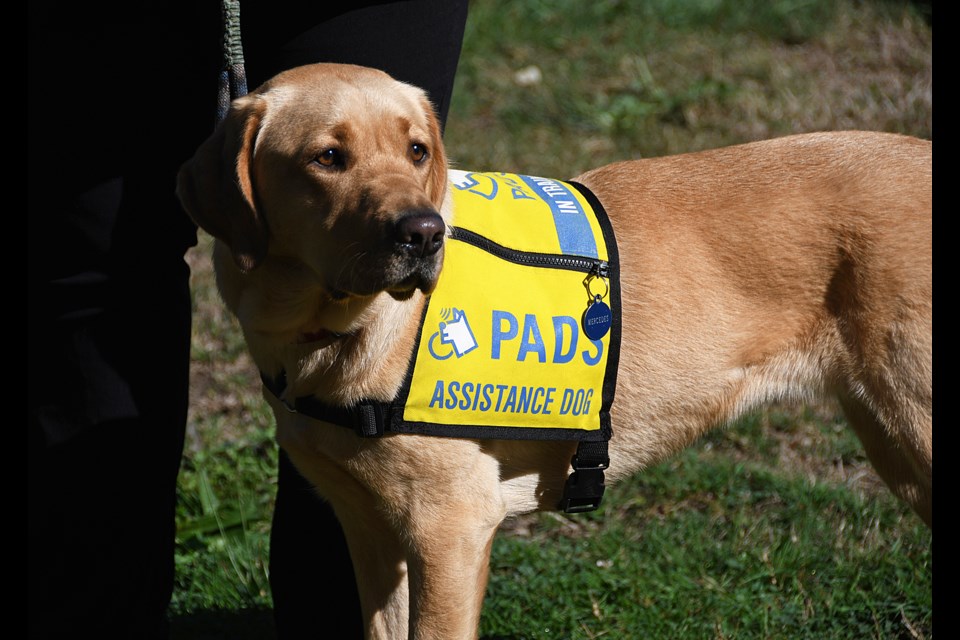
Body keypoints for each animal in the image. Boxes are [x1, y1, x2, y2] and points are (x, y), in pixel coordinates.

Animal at [178, 62, 928, 636]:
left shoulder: (450, 530)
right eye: (327, 157)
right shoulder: (370, 530)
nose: (423, 234)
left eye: (418, 151)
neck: (332, 336)